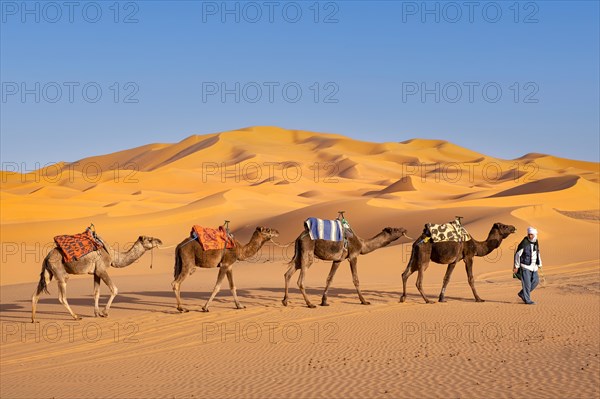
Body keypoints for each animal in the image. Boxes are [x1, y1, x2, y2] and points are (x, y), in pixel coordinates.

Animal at [30, 236, 162, 324]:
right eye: (150, 239)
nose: (160, 241)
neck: (113, 256)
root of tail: (47, 257)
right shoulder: (102, 269)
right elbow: (114, 289)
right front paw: (104, 313)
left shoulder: (96, 272)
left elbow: (96, 293)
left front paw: (97, 313)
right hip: (60, 272)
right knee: (62, 296)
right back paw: (76, 317)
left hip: (48, 273)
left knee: (36, 294)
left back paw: (34, 319)